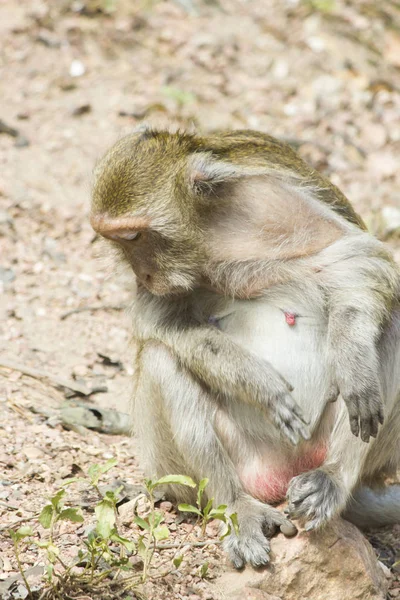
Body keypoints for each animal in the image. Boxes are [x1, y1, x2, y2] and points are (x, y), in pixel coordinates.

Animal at [90, 126, 400, 568]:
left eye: (134, 236)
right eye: (119, 241)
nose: (144, 274)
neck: (206, 236)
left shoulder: (268, 197)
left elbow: (355, 256)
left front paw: (354, 363)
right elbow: (161, 322)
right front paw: (260, 385)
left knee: (391, 323)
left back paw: (332, 479)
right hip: (186, 470)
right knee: (162, 358)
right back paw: (237, 504)